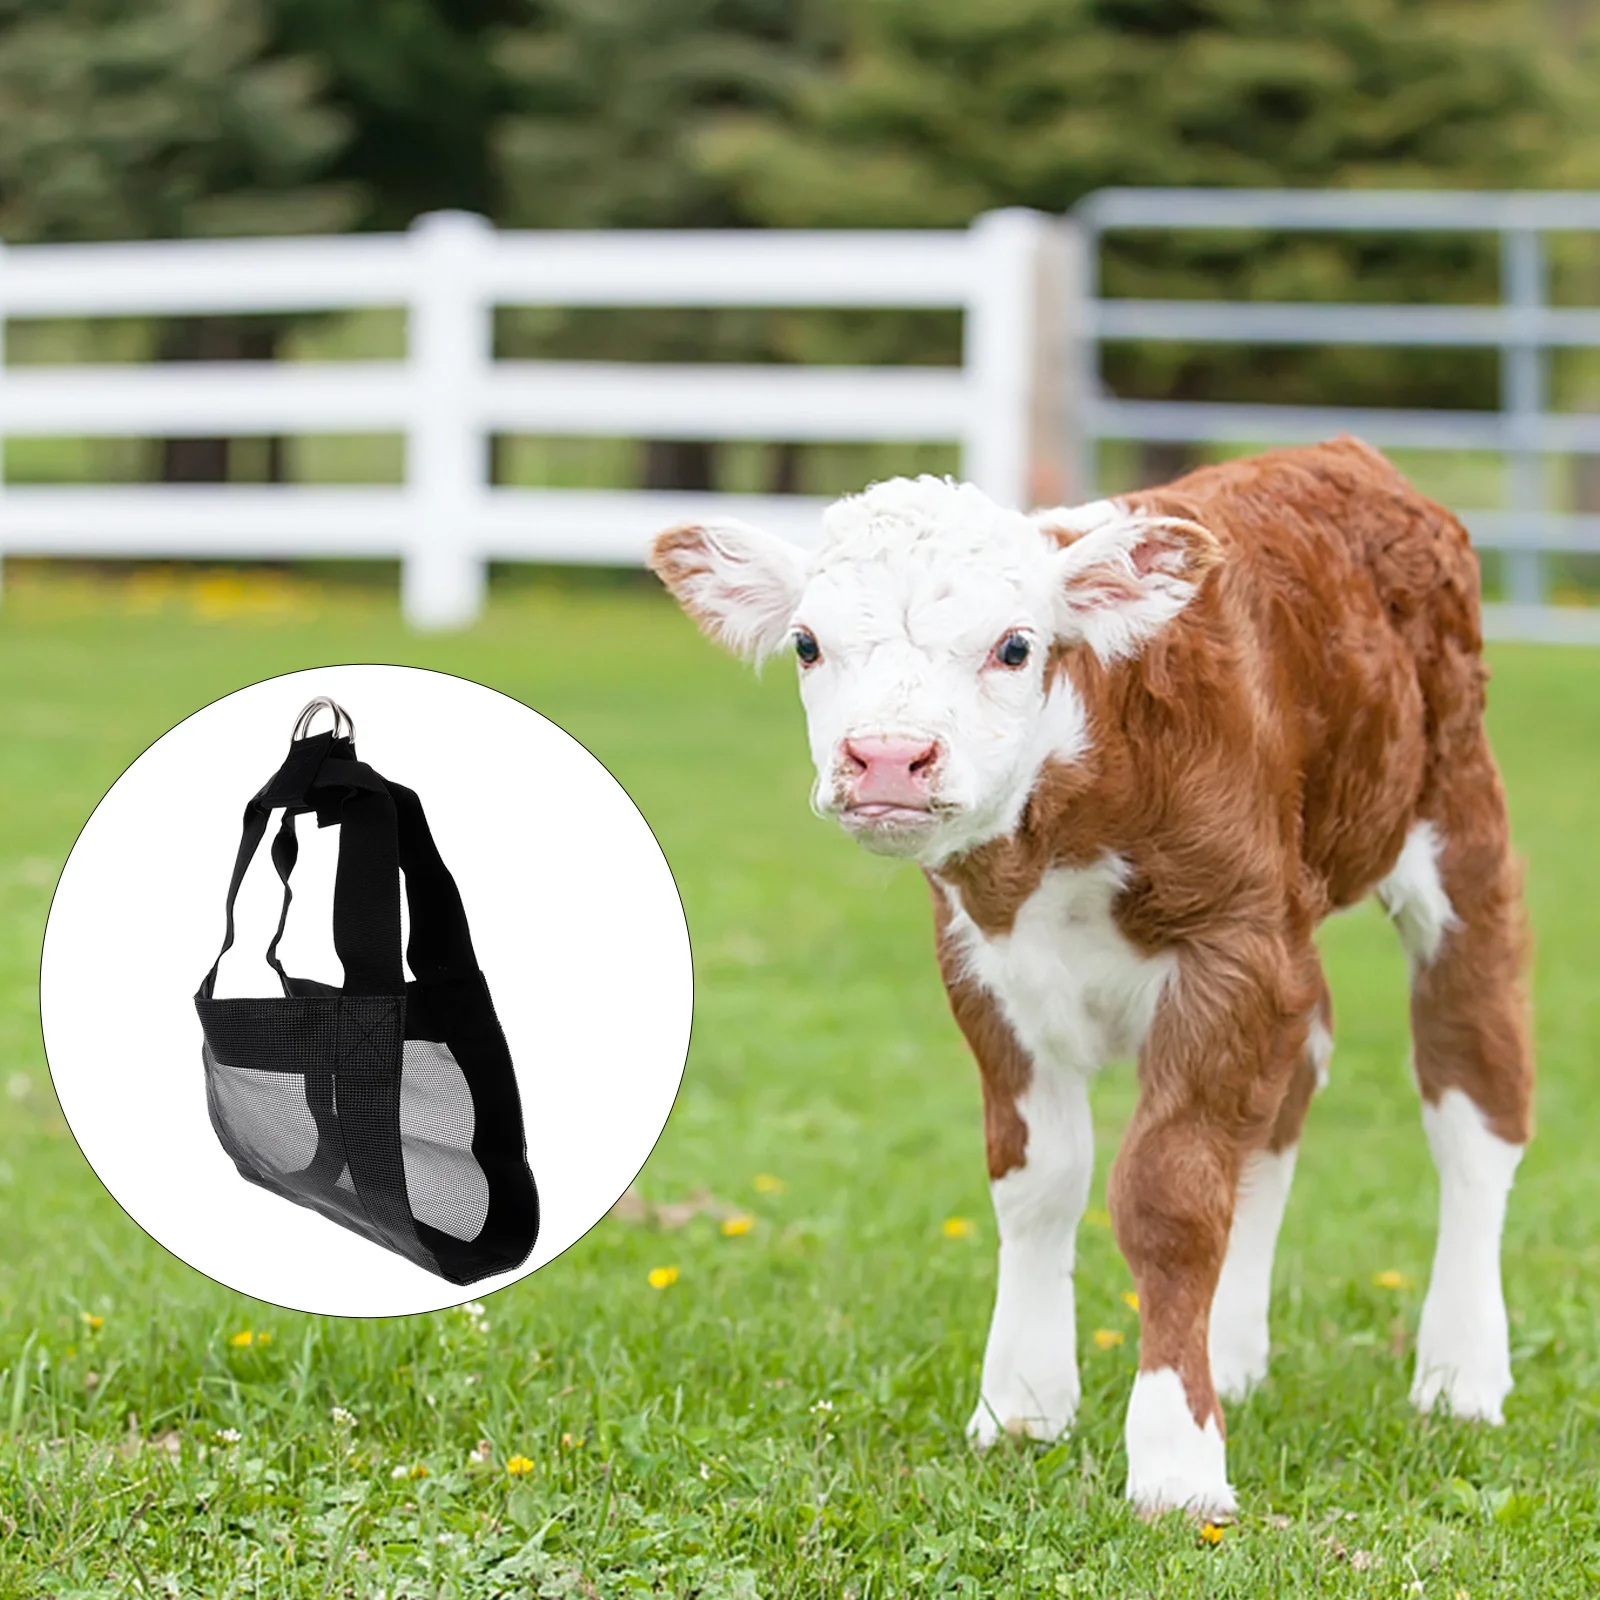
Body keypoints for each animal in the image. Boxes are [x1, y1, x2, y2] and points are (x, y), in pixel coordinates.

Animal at [647, 438, 1532, 1518]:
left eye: (1014, 647)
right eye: (808, 644)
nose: (889, 759)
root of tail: (1339, 457)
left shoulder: (1230, 950)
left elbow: (1169, 1193)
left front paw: (1177, 1459)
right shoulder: (984, 965)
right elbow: (1039, 1180)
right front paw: (1023, 1404)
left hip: (1456, 827)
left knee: (1473, 1094)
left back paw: (1460, 1373)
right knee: (1292, 1078)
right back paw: (1236, 1351)